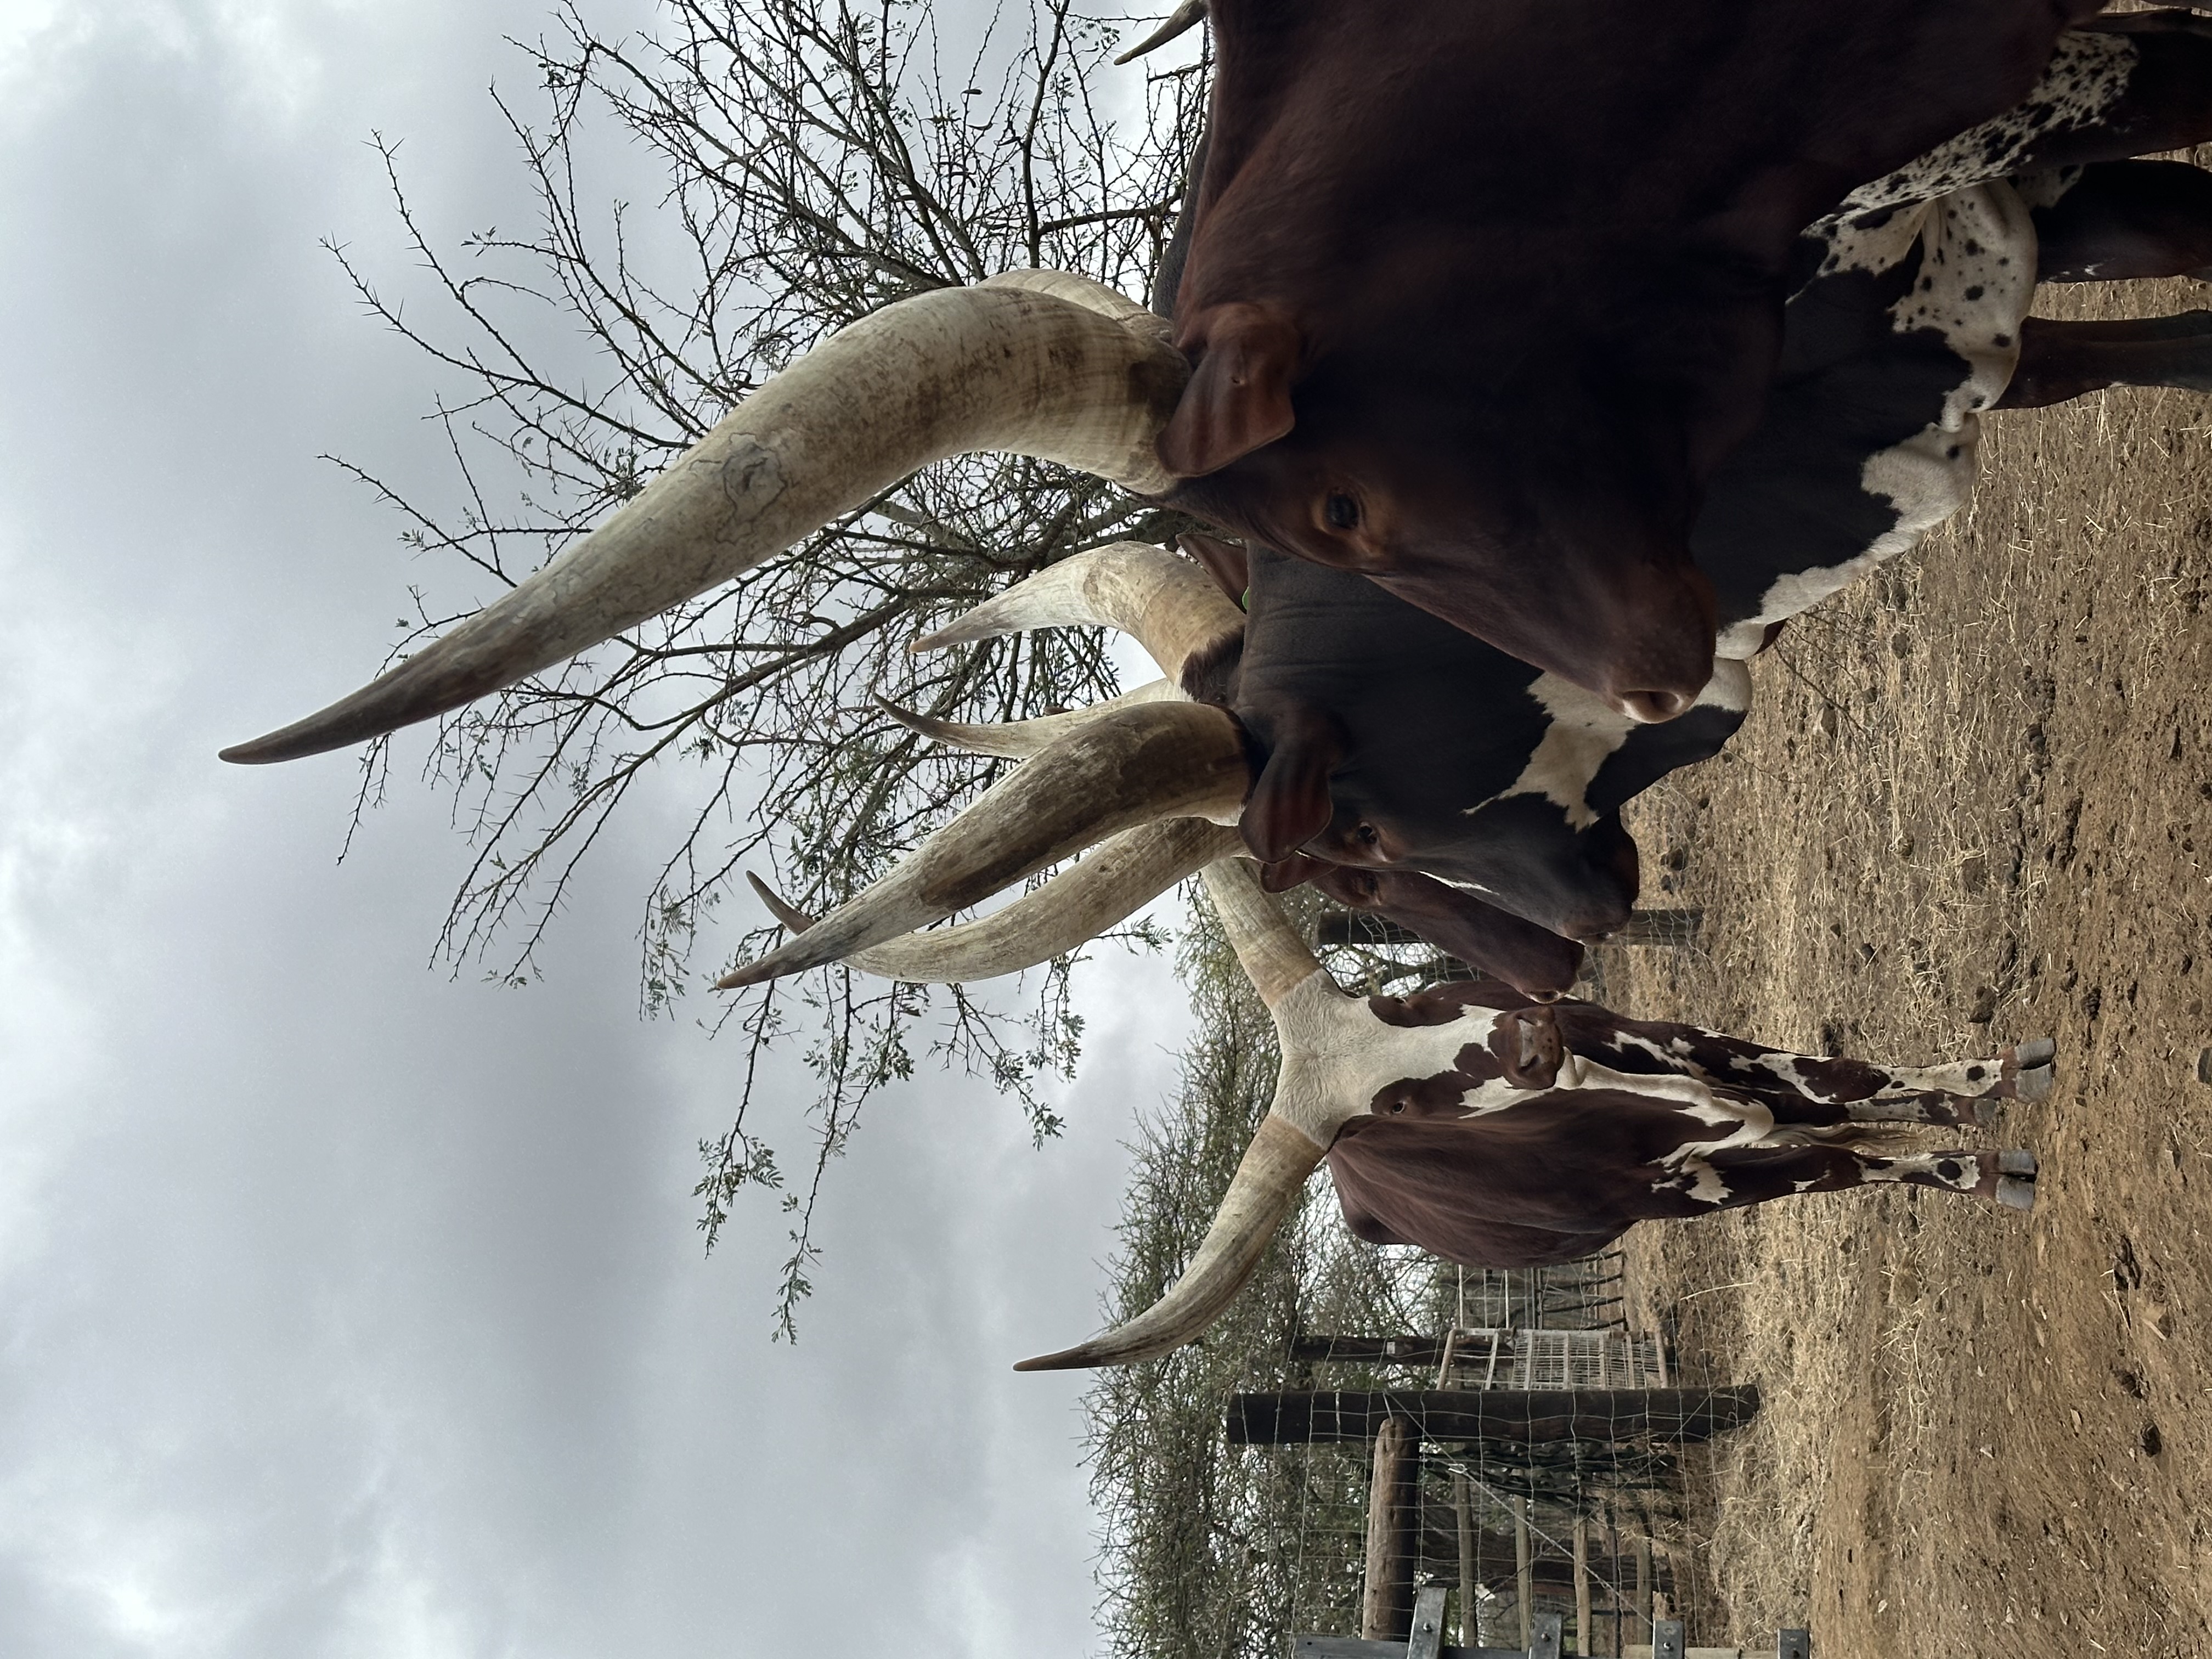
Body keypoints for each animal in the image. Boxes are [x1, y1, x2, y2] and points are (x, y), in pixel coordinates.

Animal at [1015, 858, 2049, 1371]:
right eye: (1398, 1107)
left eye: (1399, 1003)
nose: (1527, 1039)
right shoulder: (1691, 1184)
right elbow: (1833, 1155)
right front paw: (1978, 1165)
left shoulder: (1662, 1034)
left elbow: (1834, 1076)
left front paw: (1988, 1079)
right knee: (1809, 1134)